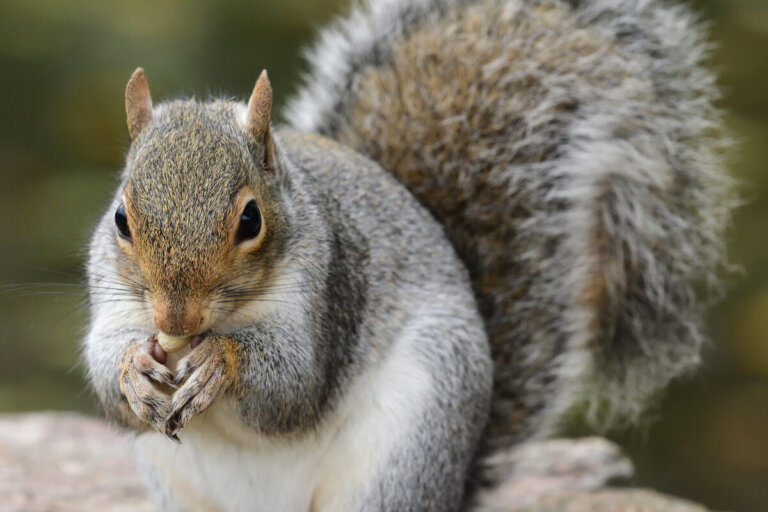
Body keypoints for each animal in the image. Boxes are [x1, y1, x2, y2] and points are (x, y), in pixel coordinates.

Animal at [83, 0, 732, 510]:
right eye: (120, 219)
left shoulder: (329, 292)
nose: (176, 319)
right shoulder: (112, 300)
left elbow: (293, 388)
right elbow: (105, 371)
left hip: (411, 438)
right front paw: (134, 370)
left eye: (250, 220)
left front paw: (220, 360)